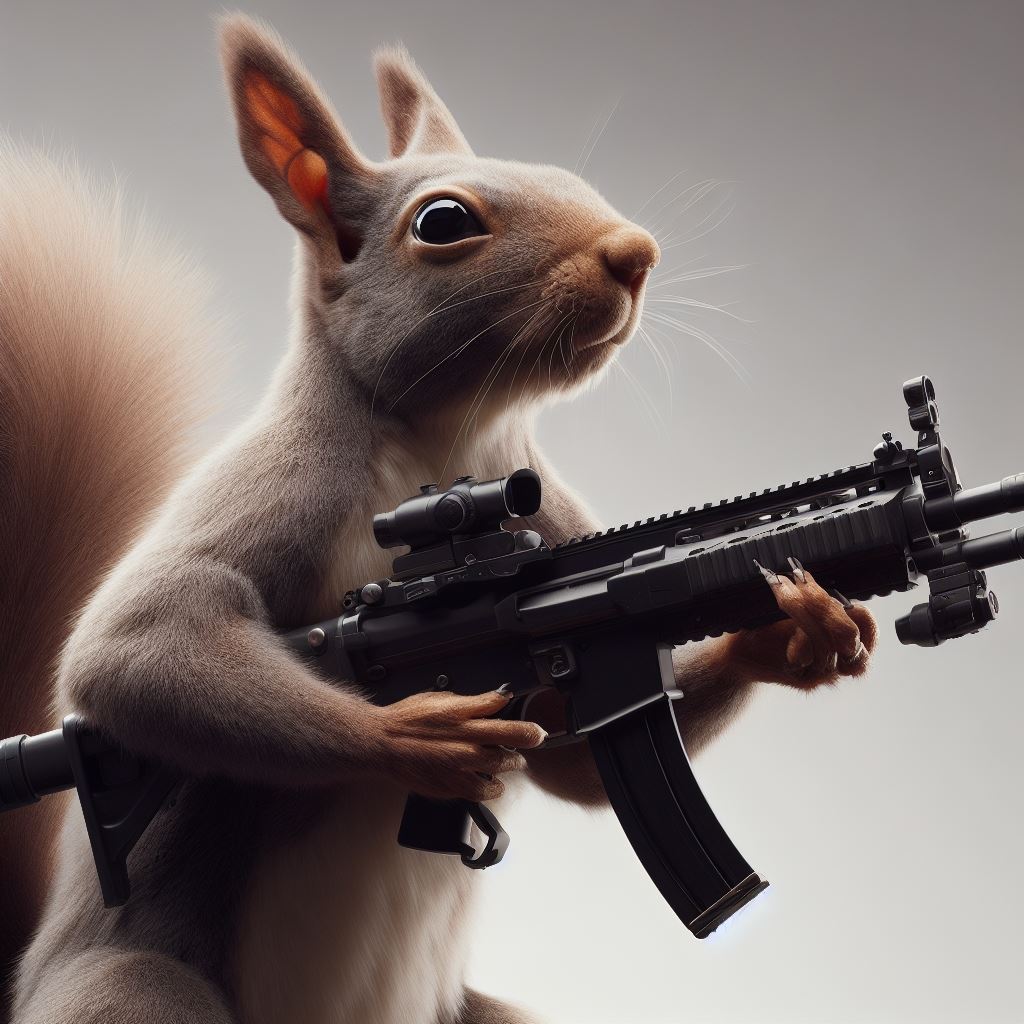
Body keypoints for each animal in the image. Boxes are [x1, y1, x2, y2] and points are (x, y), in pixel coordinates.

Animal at [0, 14, 878, 1024]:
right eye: (444, 222)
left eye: (565, 175)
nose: (637, 252)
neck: (450, 440)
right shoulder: (281, 479)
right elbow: (131, 641)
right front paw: (417, 736)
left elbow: (576, 765)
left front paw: (792, 629)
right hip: (131, 989)